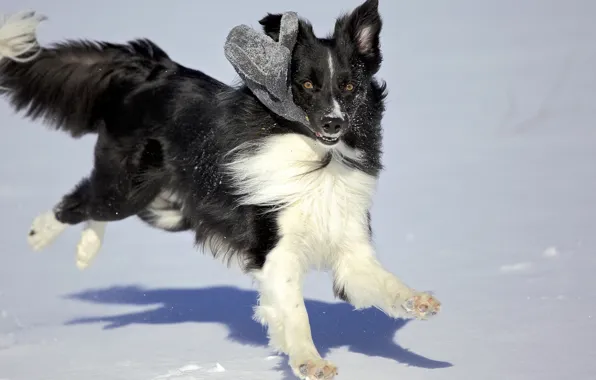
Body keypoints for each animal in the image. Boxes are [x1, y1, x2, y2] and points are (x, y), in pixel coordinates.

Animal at [0, 1, 438, 378]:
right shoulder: (275, 250)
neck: (318, 161)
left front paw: (420, 304)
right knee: (81, 201)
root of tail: (157, 70)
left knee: (100, 208)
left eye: (348, 86)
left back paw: (84, 251)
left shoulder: (349, 249)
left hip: (169, 205)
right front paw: (310, 362)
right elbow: (296, 312)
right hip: (129, 186)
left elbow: (385, 283)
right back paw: (40, 235)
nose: (333, 123)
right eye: (307, 84)